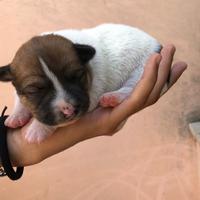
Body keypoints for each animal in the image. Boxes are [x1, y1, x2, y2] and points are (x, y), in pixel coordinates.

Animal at [0, 23, 161, 143]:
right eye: (34, 91)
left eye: (76, 76)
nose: (69, 110)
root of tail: (157, 44)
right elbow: (20, 100)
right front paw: (16, 116)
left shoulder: (91, 94)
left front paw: (37, 129)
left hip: (142, 66)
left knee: (130, 86)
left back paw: (114, 97)